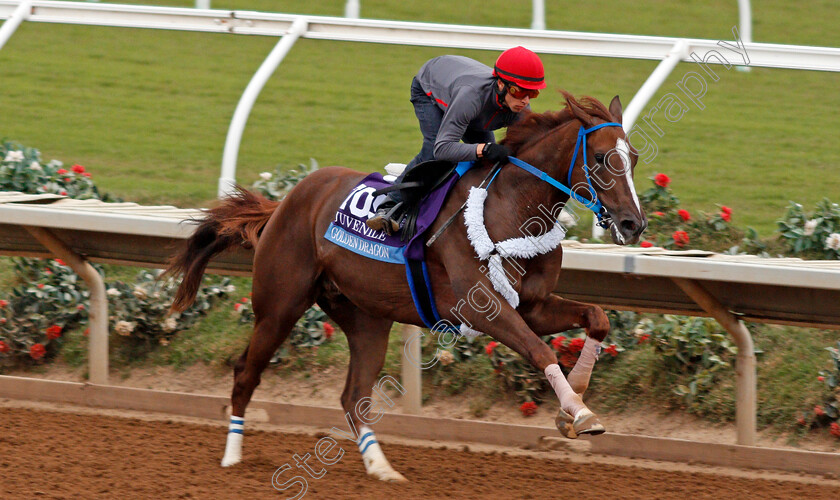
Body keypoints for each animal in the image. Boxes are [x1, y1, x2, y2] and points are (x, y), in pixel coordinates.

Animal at [167, 92, 648, 482]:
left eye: (634, 157)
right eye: (602, 157)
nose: (633, 223)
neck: (511, 206)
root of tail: (285, 202)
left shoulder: (532, 304)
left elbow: (597, 318)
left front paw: (575, 399)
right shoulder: (483, 307)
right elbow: (541, 350)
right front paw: (580, 413)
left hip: (366, 319)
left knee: (353, 396)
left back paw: (381, 467)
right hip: (278, 307)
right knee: (245, 374)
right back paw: (232, 458)